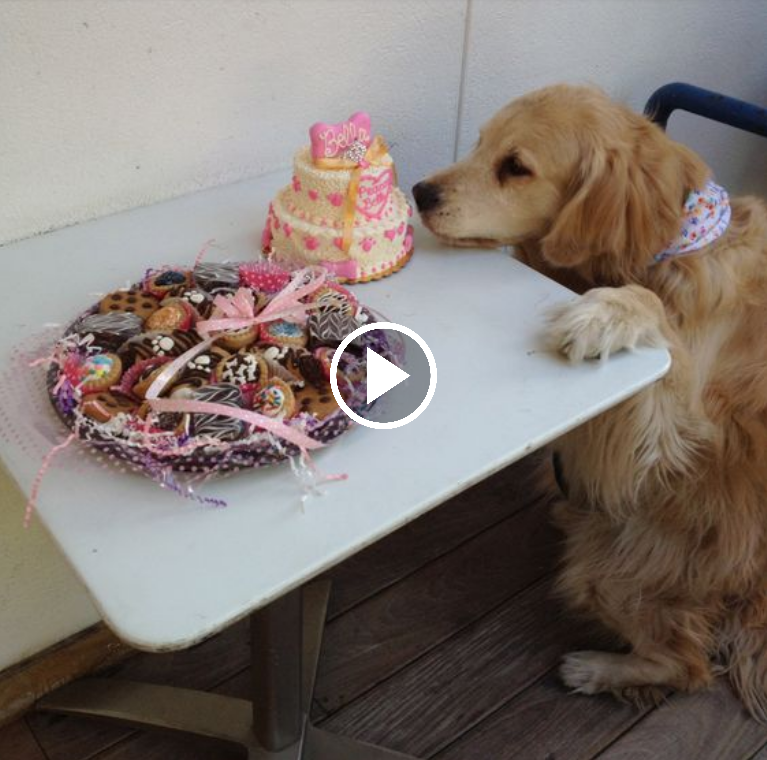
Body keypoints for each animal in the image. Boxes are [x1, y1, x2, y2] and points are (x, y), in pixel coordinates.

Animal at [414, 84, 767, 720]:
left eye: (516, 167)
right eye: (479, 143)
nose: (420, 191)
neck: (664, 250)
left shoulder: (660, 444)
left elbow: (657, 327)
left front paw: (607, 313)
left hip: (611, 573)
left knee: (688, 664)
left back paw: (599, 668)